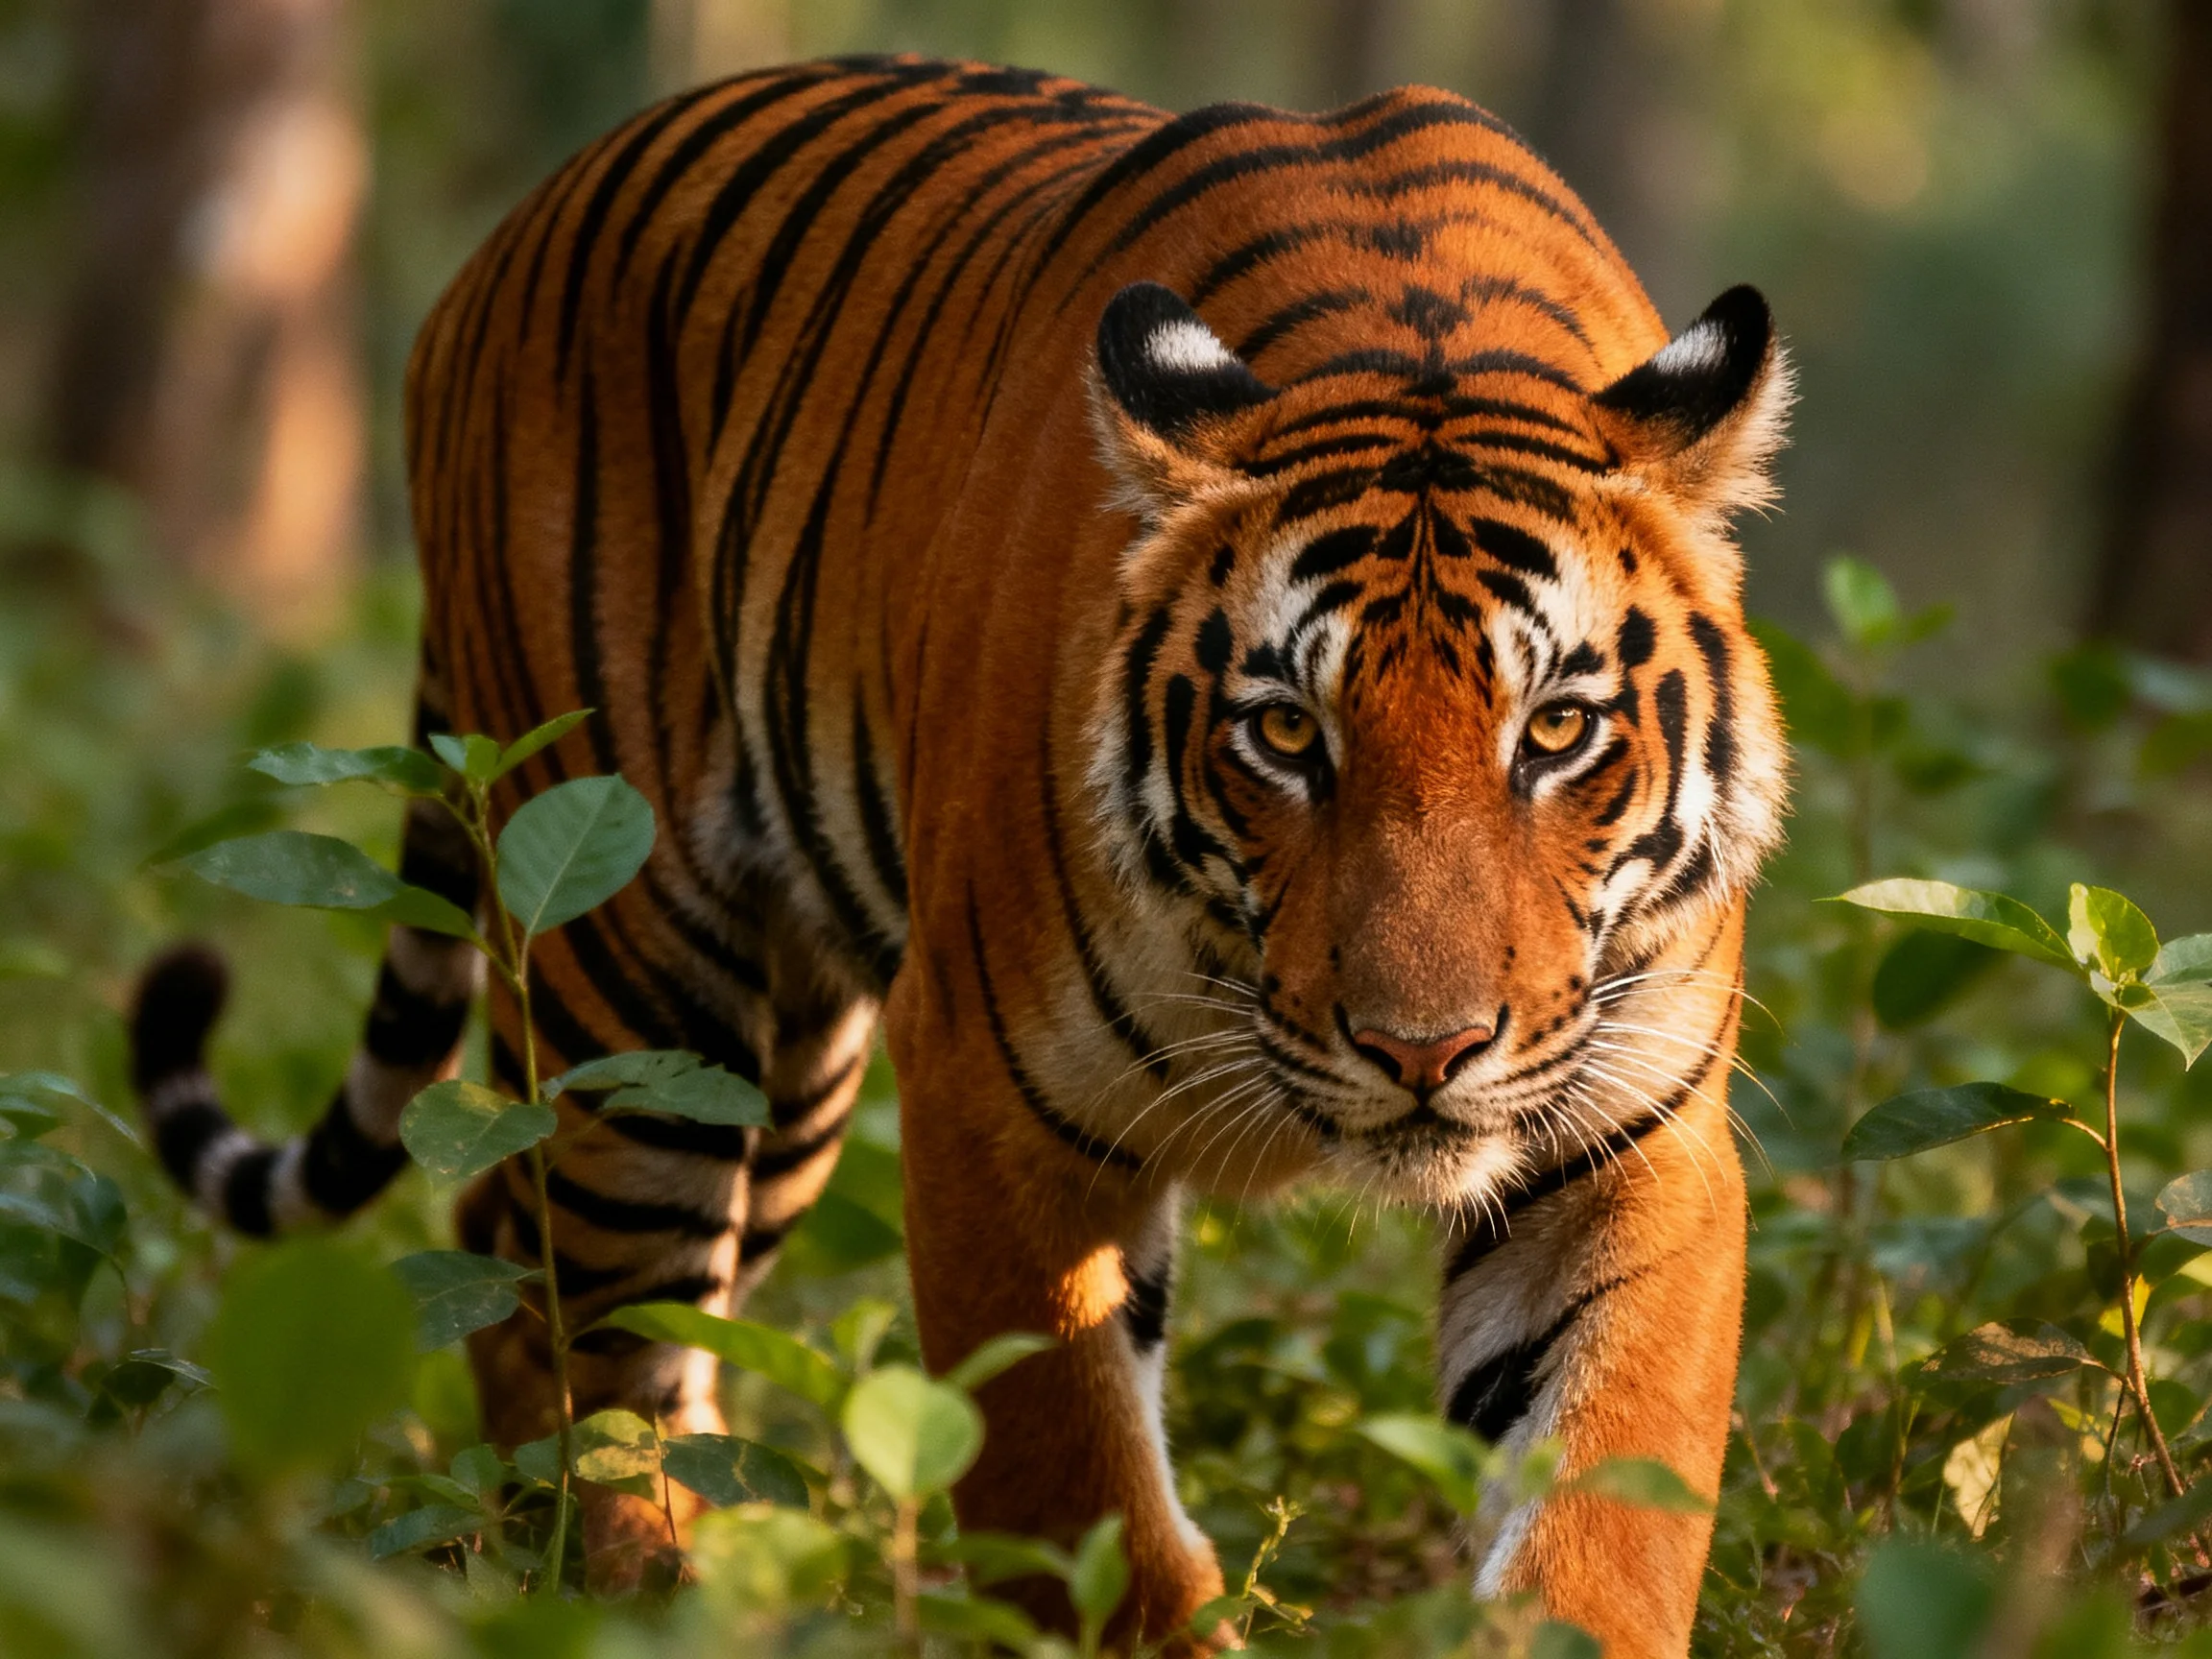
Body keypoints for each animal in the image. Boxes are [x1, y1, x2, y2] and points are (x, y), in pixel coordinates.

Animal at [128, 55, 1790, 1656]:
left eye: (1556, 730)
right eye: (1285, 735)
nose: (1422, 1052)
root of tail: (493, 252)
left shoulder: (1634, 1133)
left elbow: (1607, 1510)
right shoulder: (1000, 1101)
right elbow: (1075, 1489)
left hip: (785, 1078)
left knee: (512, 1247)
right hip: (636, 965)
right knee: (604, 1324)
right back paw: (658, 1598)